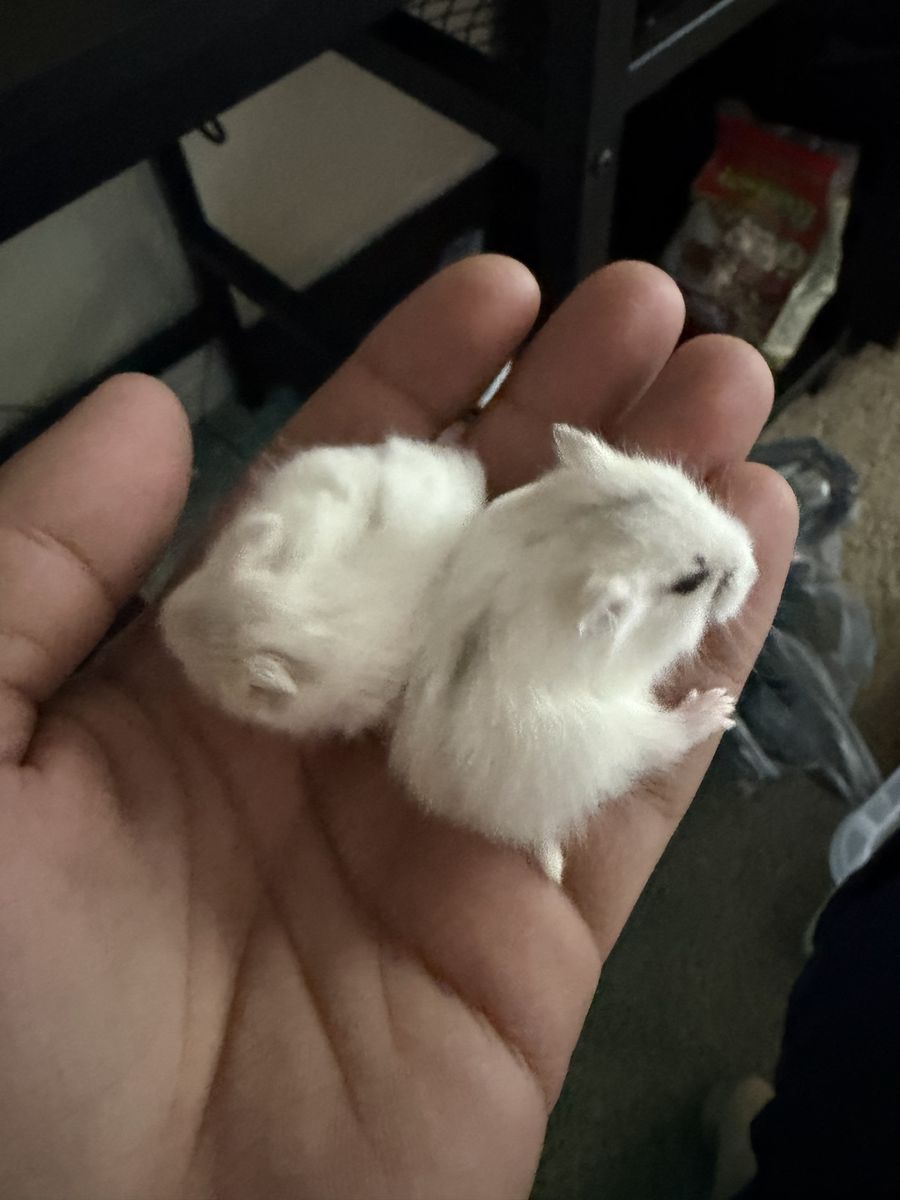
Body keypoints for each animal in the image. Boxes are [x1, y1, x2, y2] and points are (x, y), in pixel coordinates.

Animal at [389, 424, 758, 881]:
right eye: (689, 582)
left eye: (686, 489)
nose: (755, 569)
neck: (579, 546)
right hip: (608, 737)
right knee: (662, 742)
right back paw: (717, 707)